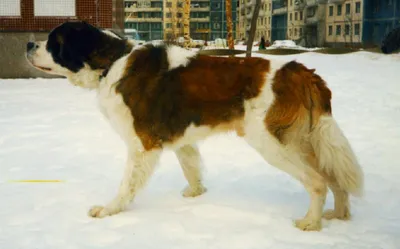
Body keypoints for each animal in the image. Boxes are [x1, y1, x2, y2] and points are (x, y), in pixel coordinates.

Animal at [26, 21, 364, 231]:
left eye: (54, 42)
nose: (30, 43)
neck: (111, 62)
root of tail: (303, 72)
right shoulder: (181, 137)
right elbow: (190, 165)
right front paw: (196, 193)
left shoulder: (141, 144)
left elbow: (126, 184)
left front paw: (110, 210)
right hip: (305, 140)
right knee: (333, 175)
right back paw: (338, 215)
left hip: (272, 142)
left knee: (317, 181)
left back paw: (311, 223)